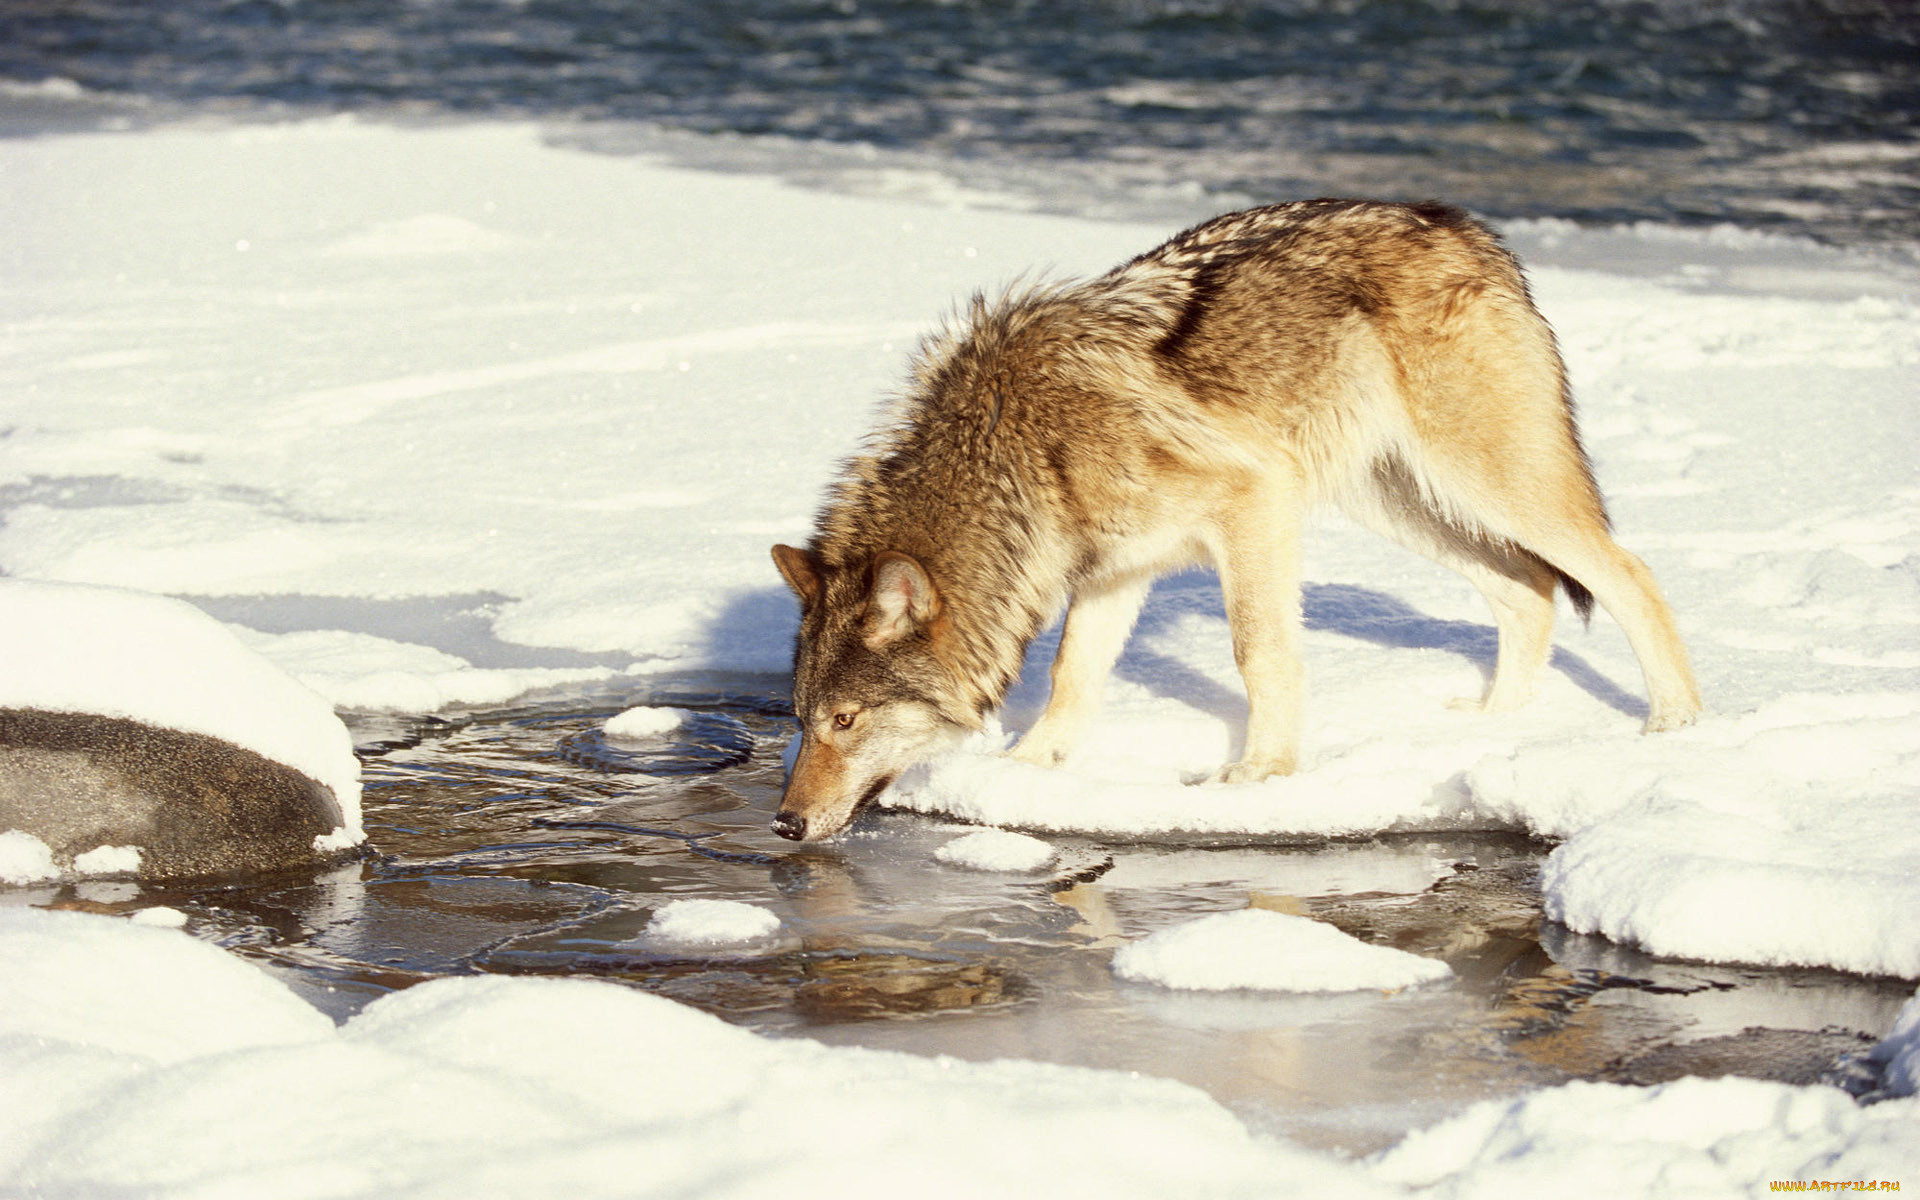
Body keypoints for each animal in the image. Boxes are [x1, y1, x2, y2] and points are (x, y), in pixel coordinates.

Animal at [764, 201, 1697, 837]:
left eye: (847, 721)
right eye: (803, 719)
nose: (784, 824)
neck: (1016, 450)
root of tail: (1469, 228)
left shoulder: (1253, 504)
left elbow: (1259, 654)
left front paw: (1261, 775)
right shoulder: (1113, 568)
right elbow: (1071, 677)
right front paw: (1025, 773)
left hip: (1485, 484)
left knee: (1628, 572)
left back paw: (1673, 726)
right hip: (1402, 501)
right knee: (1529, 590)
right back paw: (1492, 724)